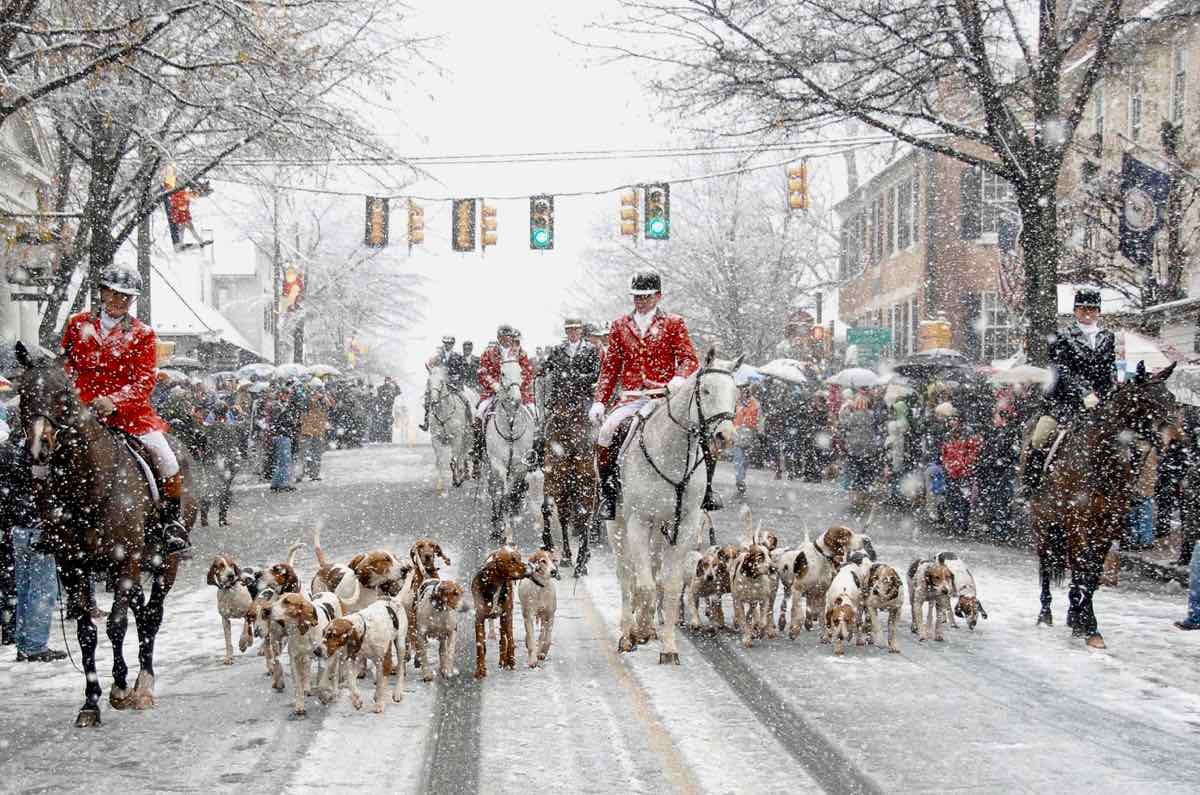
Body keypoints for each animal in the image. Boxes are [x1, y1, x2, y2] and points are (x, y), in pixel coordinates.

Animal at [13, 343, 196, 730]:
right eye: (24, 394)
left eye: (64, 394)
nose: (40, 448)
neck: (85, 488)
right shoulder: (73, 567)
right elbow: (87, 631)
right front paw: (91, 701)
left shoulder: (122, 562)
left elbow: (115, 624)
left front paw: (121, 686)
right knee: (142, 613)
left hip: (164, 562)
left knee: (152, 615)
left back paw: (144, 683)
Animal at [487, 360, 544, 542]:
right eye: (503, 373)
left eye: (520, 371)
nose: (516, 398)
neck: (511, 426)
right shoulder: (498, 464)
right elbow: (503, 495)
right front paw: (505, 531)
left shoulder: (519, 466)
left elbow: (513, 493)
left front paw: (510, 525)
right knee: (494, 491)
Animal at [614, 348, 734, 667]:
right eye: (706, 390)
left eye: (737, 393)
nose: (725, 436)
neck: (671, 452)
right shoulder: (639, 520)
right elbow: (642, 584)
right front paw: (639, 631)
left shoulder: (687, 524)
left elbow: (668, 587)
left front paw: (668, 646)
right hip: (617, 526)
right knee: (626, 576)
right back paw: (627, 632)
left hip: (661, 529)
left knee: (653, 573)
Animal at [1027, 365, 1176, 653]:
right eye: (1147, 401)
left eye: (1172, 399)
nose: (1175, 441)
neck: (1101, 460)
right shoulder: (1078, 523)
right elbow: (1082, 569)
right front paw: (1085, 622)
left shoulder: (1107, 526)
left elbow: (1093, 574)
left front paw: (1086, 625)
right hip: (1045, 525)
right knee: (1047, 565)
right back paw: (1045, 614)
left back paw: (1071, 613)